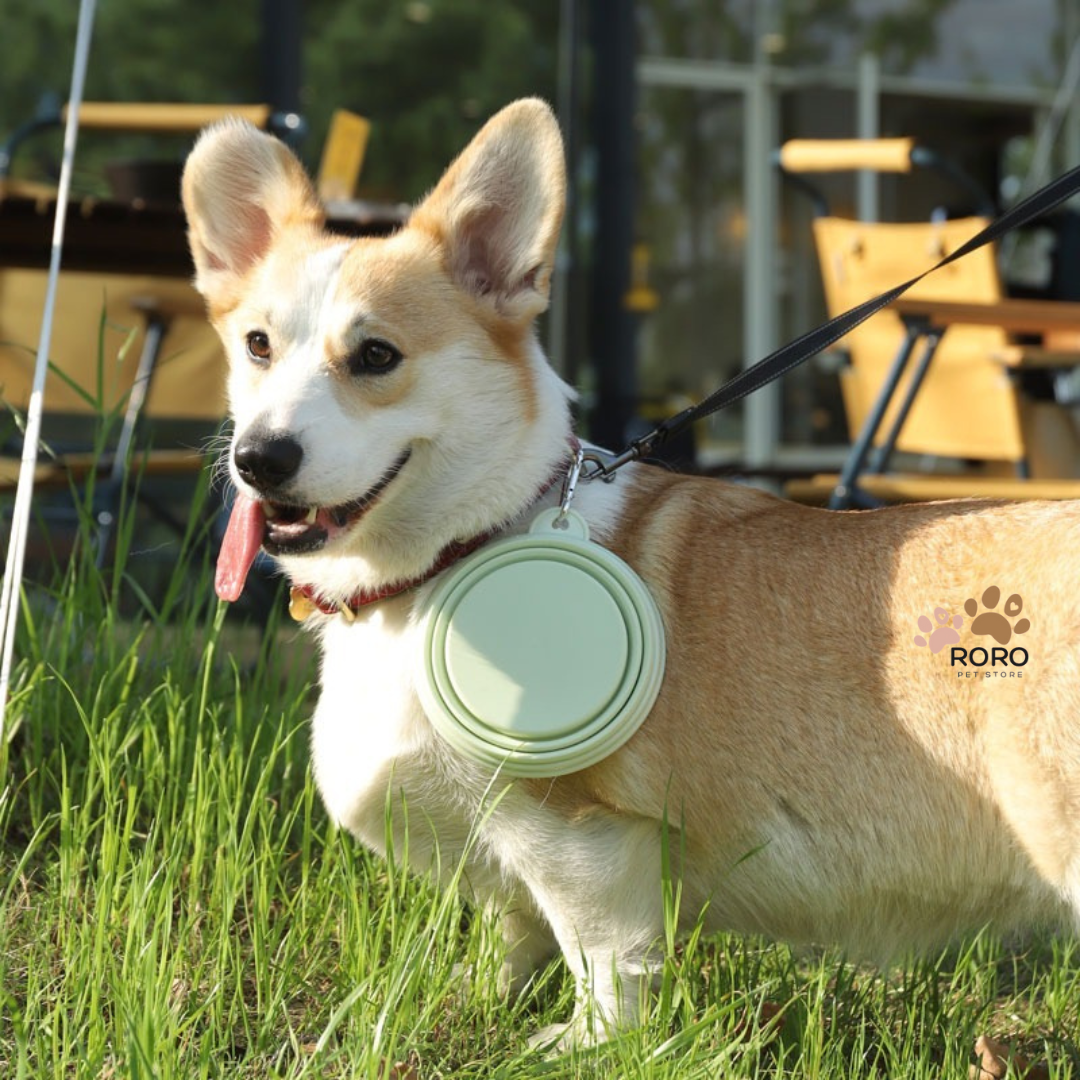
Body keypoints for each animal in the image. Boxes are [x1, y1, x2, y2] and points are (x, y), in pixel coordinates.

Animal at [181, 101, 1080, 1045]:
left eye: (377, 356)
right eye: (256, 346)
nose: (260, 459)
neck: (457, 548)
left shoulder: (579, 840)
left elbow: (603, 961)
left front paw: (581, 1046)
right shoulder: (513, 875)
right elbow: (510, 933)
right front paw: (465, 1001)